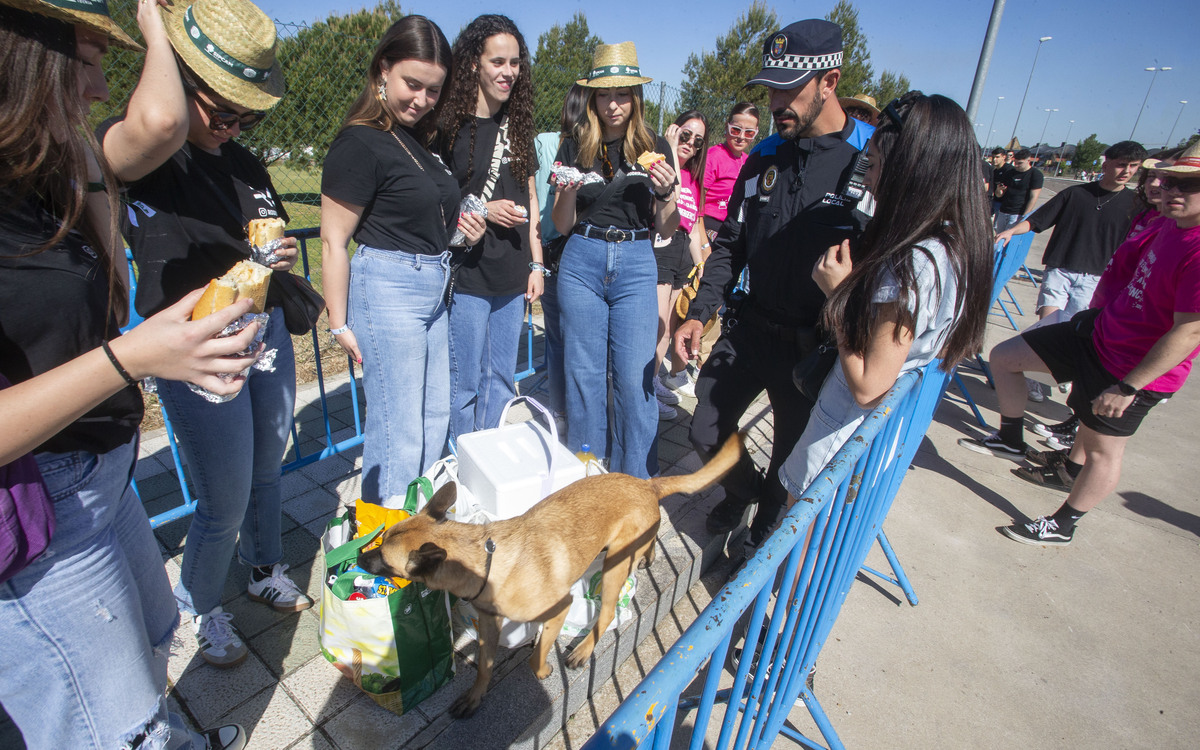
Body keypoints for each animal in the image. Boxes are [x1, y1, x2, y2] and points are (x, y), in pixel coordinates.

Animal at [355, 429, 744, 715]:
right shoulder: (490, 627)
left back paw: (583, 650)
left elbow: (535, 656)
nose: (358, 557)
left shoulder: (559, 608)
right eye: (382, 540)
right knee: (645, 547)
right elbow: (484, 666)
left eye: (384, 558)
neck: (486, 564)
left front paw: (542, 669)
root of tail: (645, 484)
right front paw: (475, 696)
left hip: (614, 568)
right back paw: (647, 556)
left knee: (604, 616)